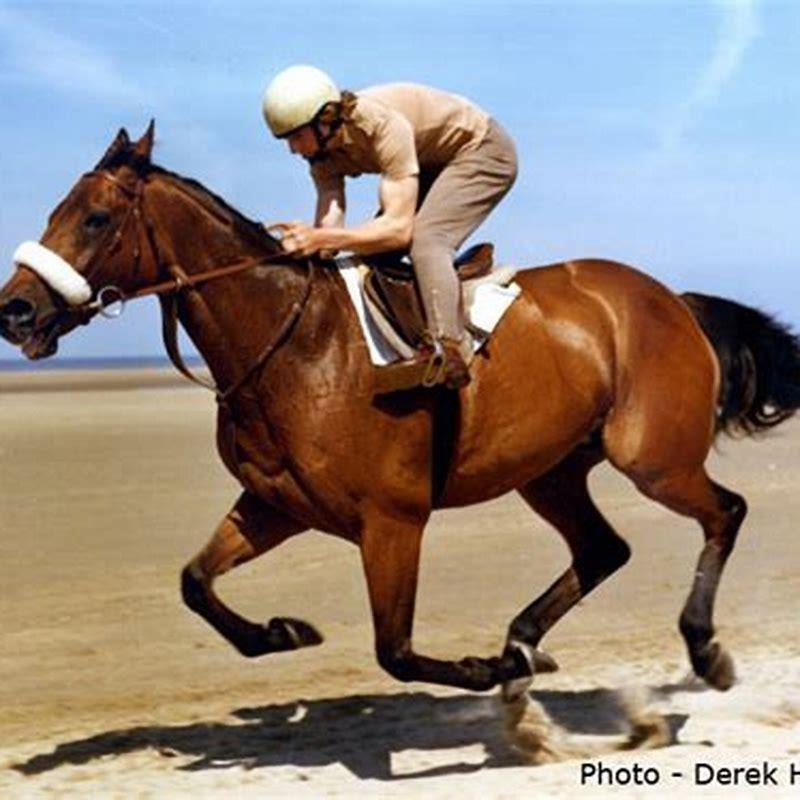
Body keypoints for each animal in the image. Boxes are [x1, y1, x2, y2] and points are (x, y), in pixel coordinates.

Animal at [2, 122, 799, 700]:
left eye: (95, 218)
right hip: (549, 470)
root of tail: (673, 299)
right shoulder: (275, 504)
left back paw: (699, 646)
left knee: (725, 513)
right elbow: (194, 582)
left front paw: (482, 669)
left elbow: (396, 650)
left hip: (653, 458)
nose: (16, 310)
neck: (298, 344)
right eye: (54, 211)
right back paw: (522, 642)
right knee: (605, 549)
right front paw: (283, 631)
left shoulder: (392, 520)